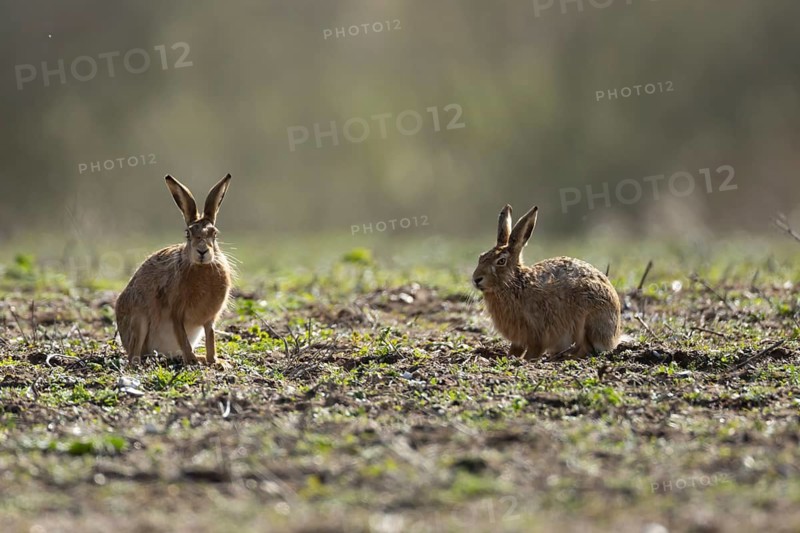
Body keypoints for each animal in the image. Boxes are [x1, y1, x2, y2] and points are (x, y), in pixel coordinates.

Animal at [115, 174, 233, 366]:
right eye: (188, 234)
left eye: (214, 234)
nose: (202, 251)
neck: (200, 267)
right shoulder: (175, 312)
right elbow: (182, 336)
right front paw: (192, 360)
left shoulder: (209, 318)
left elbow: (210, 337)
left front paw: (215, 361)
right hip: (138, 320)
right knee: (134, 356)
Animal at [472, 204, 621, 360]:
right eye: (481, 257)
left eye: (501, 261)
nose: (476, 279)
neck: (515, 282)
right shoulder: (519, 338)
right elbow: (515, 350)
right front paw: (510, 357)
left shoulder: (537, 331)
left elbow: (534, 351)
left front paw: (525, 360)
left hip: (587, 321)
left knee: (586, 349)